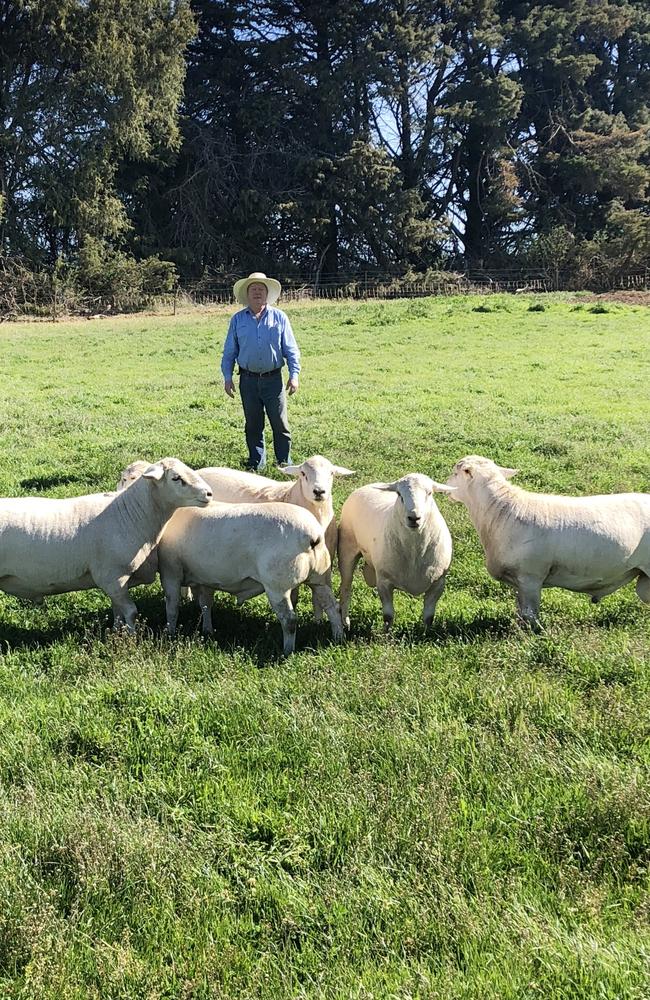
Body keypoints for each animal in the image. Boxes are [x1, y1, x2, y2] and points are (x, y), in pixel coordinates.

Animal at [0, 458, 211, 628]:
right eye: (176, 478)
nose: (209, 493)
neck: (131, 514)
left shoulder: (114, 582)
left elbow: (117, 612)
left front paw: (117, 633)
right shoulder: (113, 576)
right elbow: (130, 612)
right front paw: (132, 641)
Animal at [158, 500, 344, 656]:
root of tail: (313, 536)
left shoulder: (170, 572)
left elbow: (172, 606)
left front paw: (170, 634)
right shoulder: (205, 577)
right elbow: (205, 604)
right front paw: (207, 630)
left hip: (277, 585)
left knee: (290, 620)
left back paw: (287, 651)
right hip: (320, 578)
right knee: (332, 607)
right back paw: (338, 637)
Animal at [336, 474, 454, 628]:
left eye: (429, 493)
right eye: (399, 494)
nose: (414, 518)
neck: (415, 550)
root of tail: (367, 485)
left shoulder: (438, 584)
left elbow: (429, 617)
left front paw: (426, 632)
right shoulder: (384, 582)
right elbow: (388, 617)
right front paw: (387, 634)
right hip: (347, 549)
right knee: (345, 588)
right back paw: (345, 622)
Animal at [442, 458, 648, 628]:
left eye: (455, 473)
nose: (445, 487)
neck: (502, 511)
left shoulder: (531, 577)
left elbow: (530, 614)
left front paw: (531, 635)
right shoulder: (520, 583)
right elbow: (521, 610)